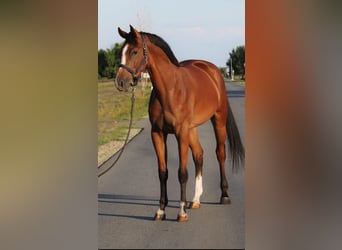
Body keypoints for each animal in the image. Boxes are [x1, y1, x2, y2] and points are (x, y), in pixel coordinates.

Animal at [116, 24, 244, 222]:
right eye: (121, 52)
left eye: (134, 51)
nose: (120, 82)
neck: (170, 89)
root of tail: (212, 70)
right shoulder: (158, 133)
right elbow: (163, 172)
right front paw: (161, 210)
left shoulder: (180, 133)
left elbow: (182, 173)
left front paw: (181, 212)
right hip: (192, 129)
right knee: (199, 155)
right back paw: (196, 199)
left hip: (218, 120)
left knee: (220, 154)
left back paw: (224, 195)